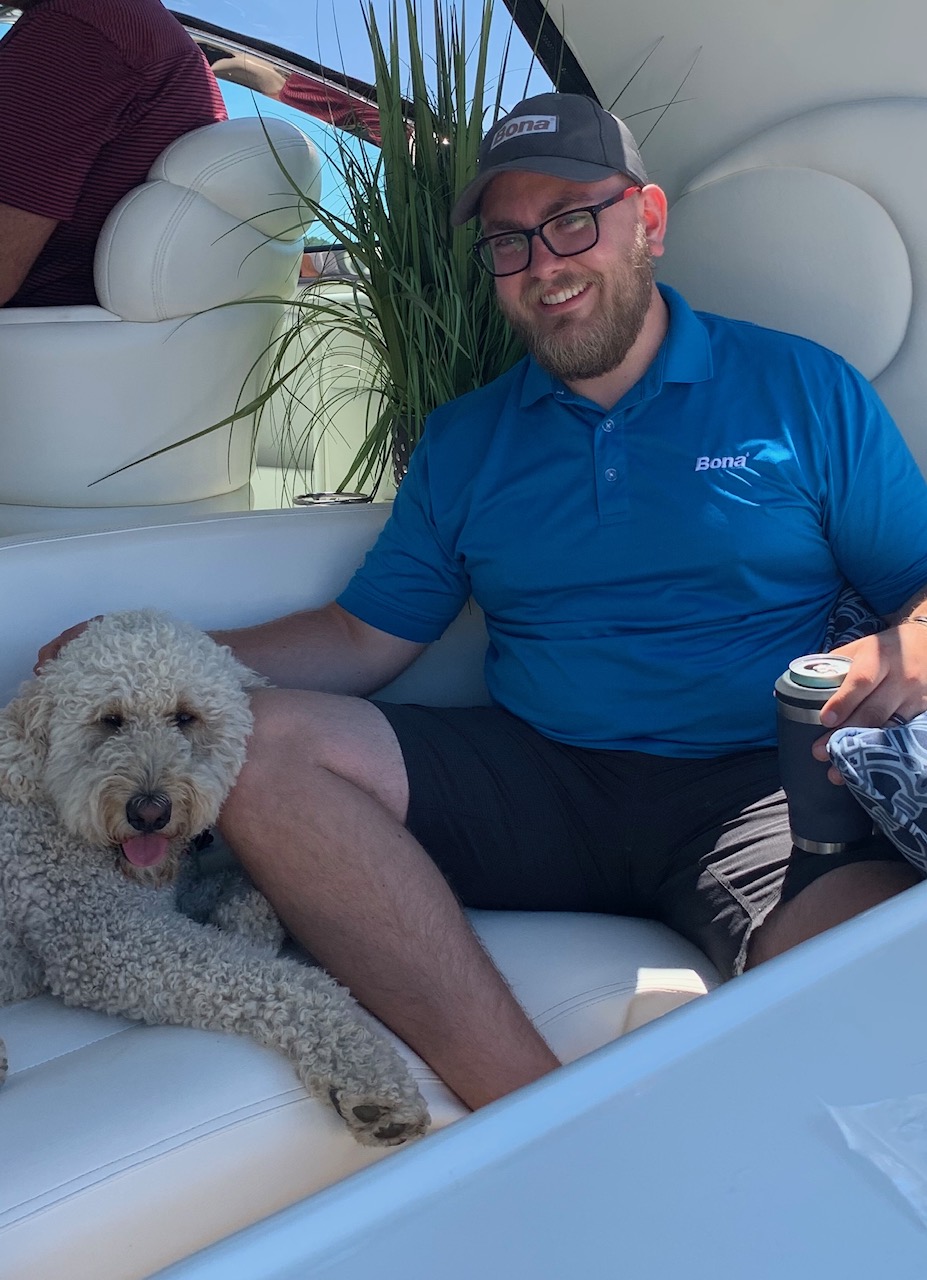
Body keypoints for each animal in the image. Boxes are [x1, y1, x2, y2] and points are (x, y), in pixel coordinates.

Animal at [0, 609, 429, 1147]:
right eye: (110, 719)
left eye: (185, 717)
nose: (148, 811)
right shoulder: (108, 945)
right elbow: (289, 980)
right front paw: (370, 1076)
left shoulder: (166, 895)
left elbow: (235, 891)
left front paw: (246, 917)